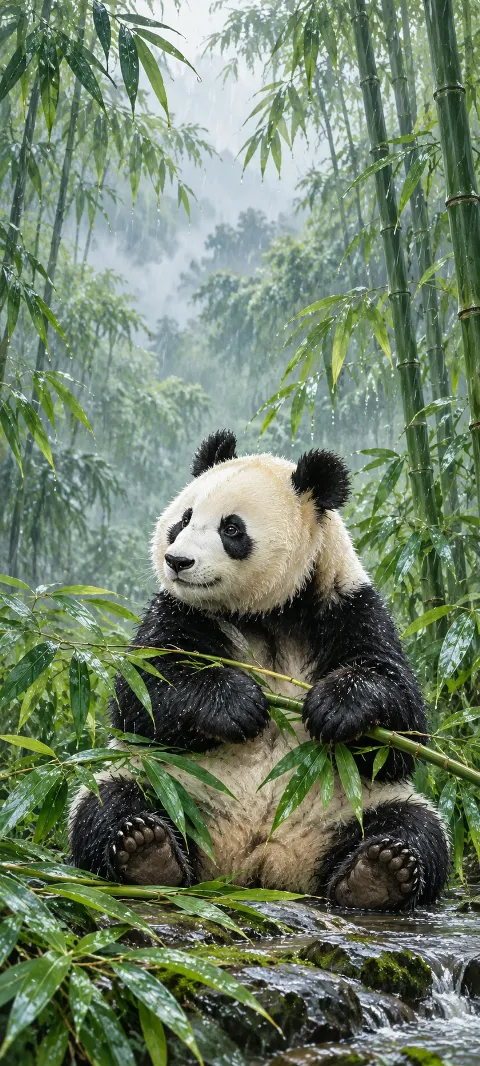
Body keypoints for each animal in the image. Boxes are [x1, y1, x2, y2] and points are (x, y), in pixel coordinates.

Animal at [69, 429, 449, 911]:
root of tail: (261, 863)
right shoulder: (177, 610)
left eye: (231, 528)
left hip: (355, 806)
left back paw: (378, 873)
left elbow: (402, 723)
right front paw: (237, 705)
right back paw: (147, 852)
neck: (267, 614)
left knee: (415, 826)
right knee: (108, 802)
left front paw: (336, 708)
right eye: (183, 519)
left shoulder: (348, 606)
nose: (177, 561)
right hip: (165, 783)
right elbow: (143, 694)